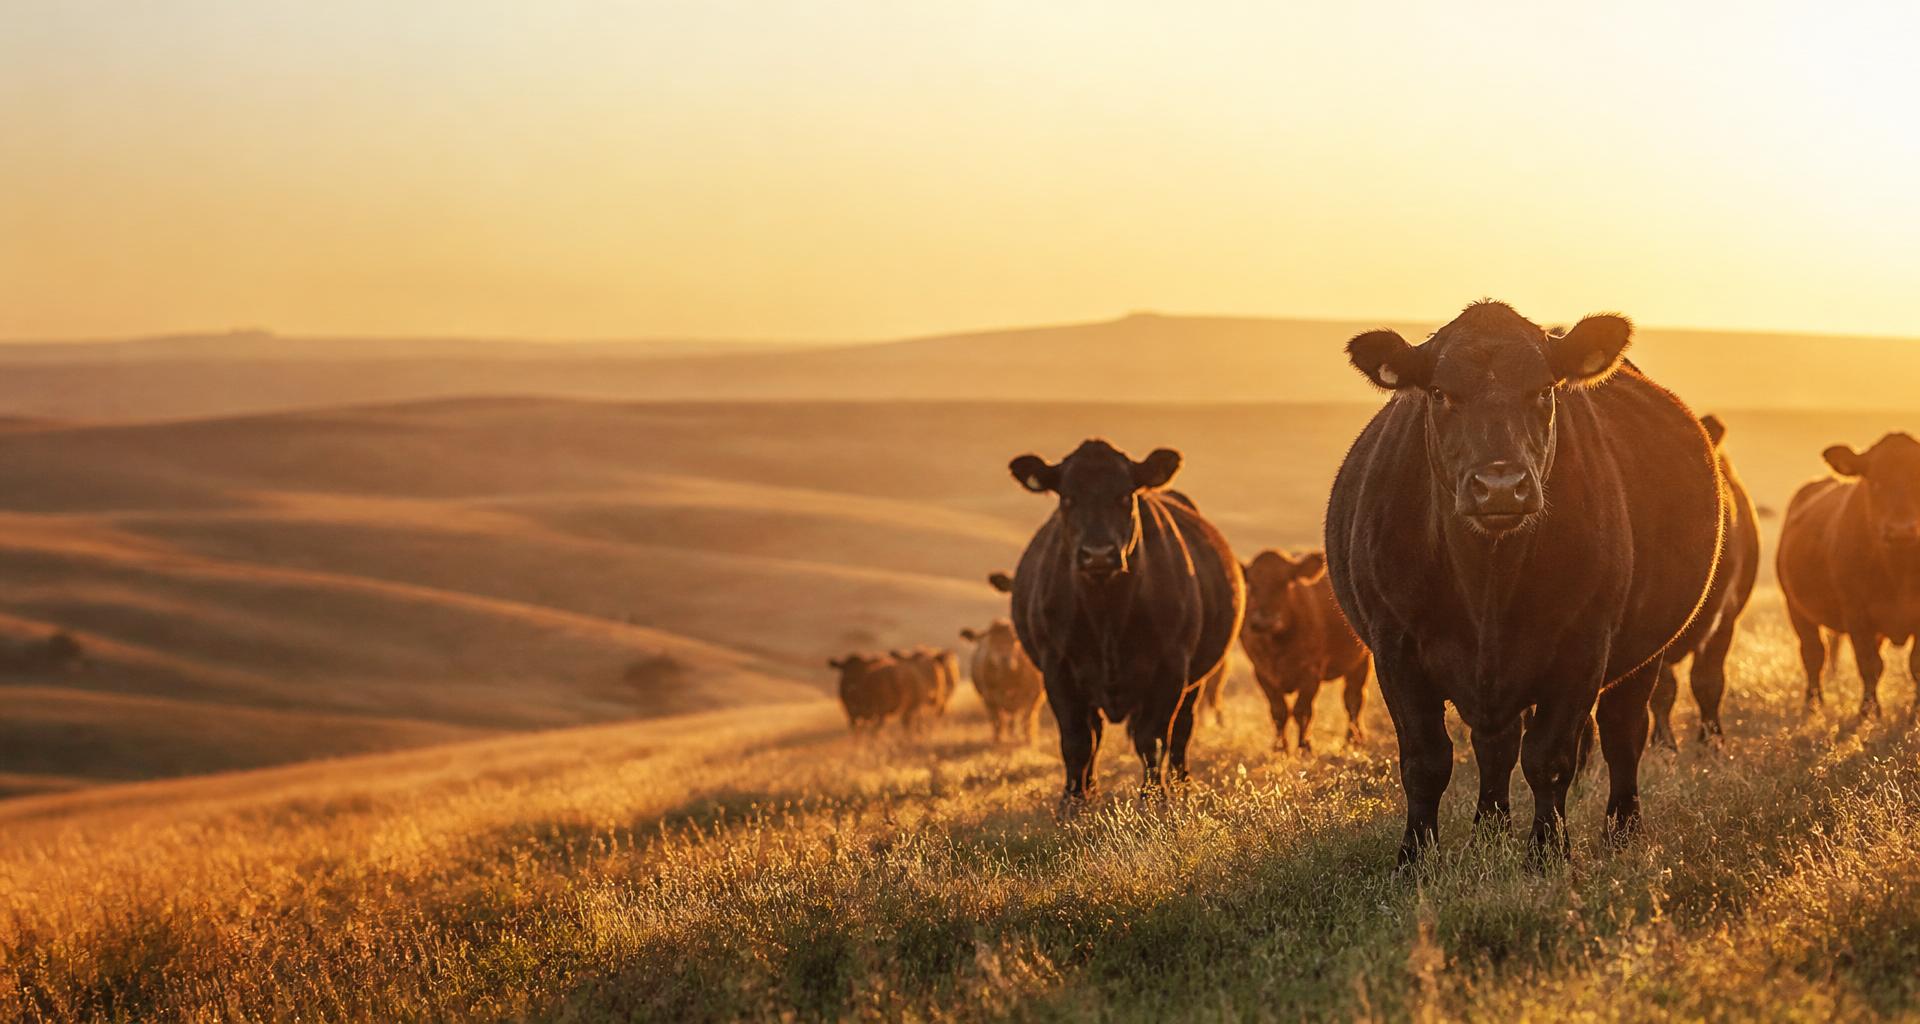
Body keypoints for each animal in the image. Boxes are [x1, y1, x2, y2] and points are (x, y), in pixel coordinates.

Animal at [1006, 439, 1245, 809]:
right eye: (1067, 497)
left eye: (1124, 496)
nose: (1098, 554)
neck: (1108, 610)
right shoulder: (1057, 667)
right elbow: (1077, 740)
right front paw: (1072, 803)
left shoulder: (1171, 667)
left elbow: (1153, 738)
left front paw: (1153, 799)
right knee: (1095, 733)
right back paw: (1090, 790)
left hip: (1196, 680)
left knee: (1182, 730)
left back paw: (1182, 786)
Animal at [1240, 548, 1372, 753]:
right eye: (1252, 584)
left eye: (1285, 582)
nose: (1264, 621)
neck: (1276, 646)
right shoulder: (1262, 673)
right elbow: (1279, 712)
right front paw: (1280, 748)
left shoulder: (1311, 673)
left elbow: (1302, 711)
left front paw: (1305, 746)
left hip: (1361, 662)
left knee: (1354, 699)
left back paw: (1353, 739)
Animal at [1327, 300, 1723, 864]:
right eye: (1440, 392)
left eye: (1543, 390)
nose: (1499, 486)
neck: (1488, 582)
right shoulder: (1395, 646)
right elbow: (1425, 761)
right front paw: (1415, 859)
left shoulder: (1584, 646)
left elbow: (1548, 759)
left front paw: (1547, 853)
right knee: (1496, 745)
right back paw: (1489, 833)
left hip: (1644, 654)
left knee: (1623, 733)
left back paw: (1622, 831)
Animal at [1778, 432, 1920, 718]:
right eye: (1875, 481)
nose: (1901, 530)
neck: (1898, 569)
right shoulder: (1857, 615)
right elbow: (1869, 664)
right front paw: (1869, 712)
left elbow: (1915, 665)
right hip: (1797, 608)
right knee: (1814, 654)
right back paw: (1813, 704)